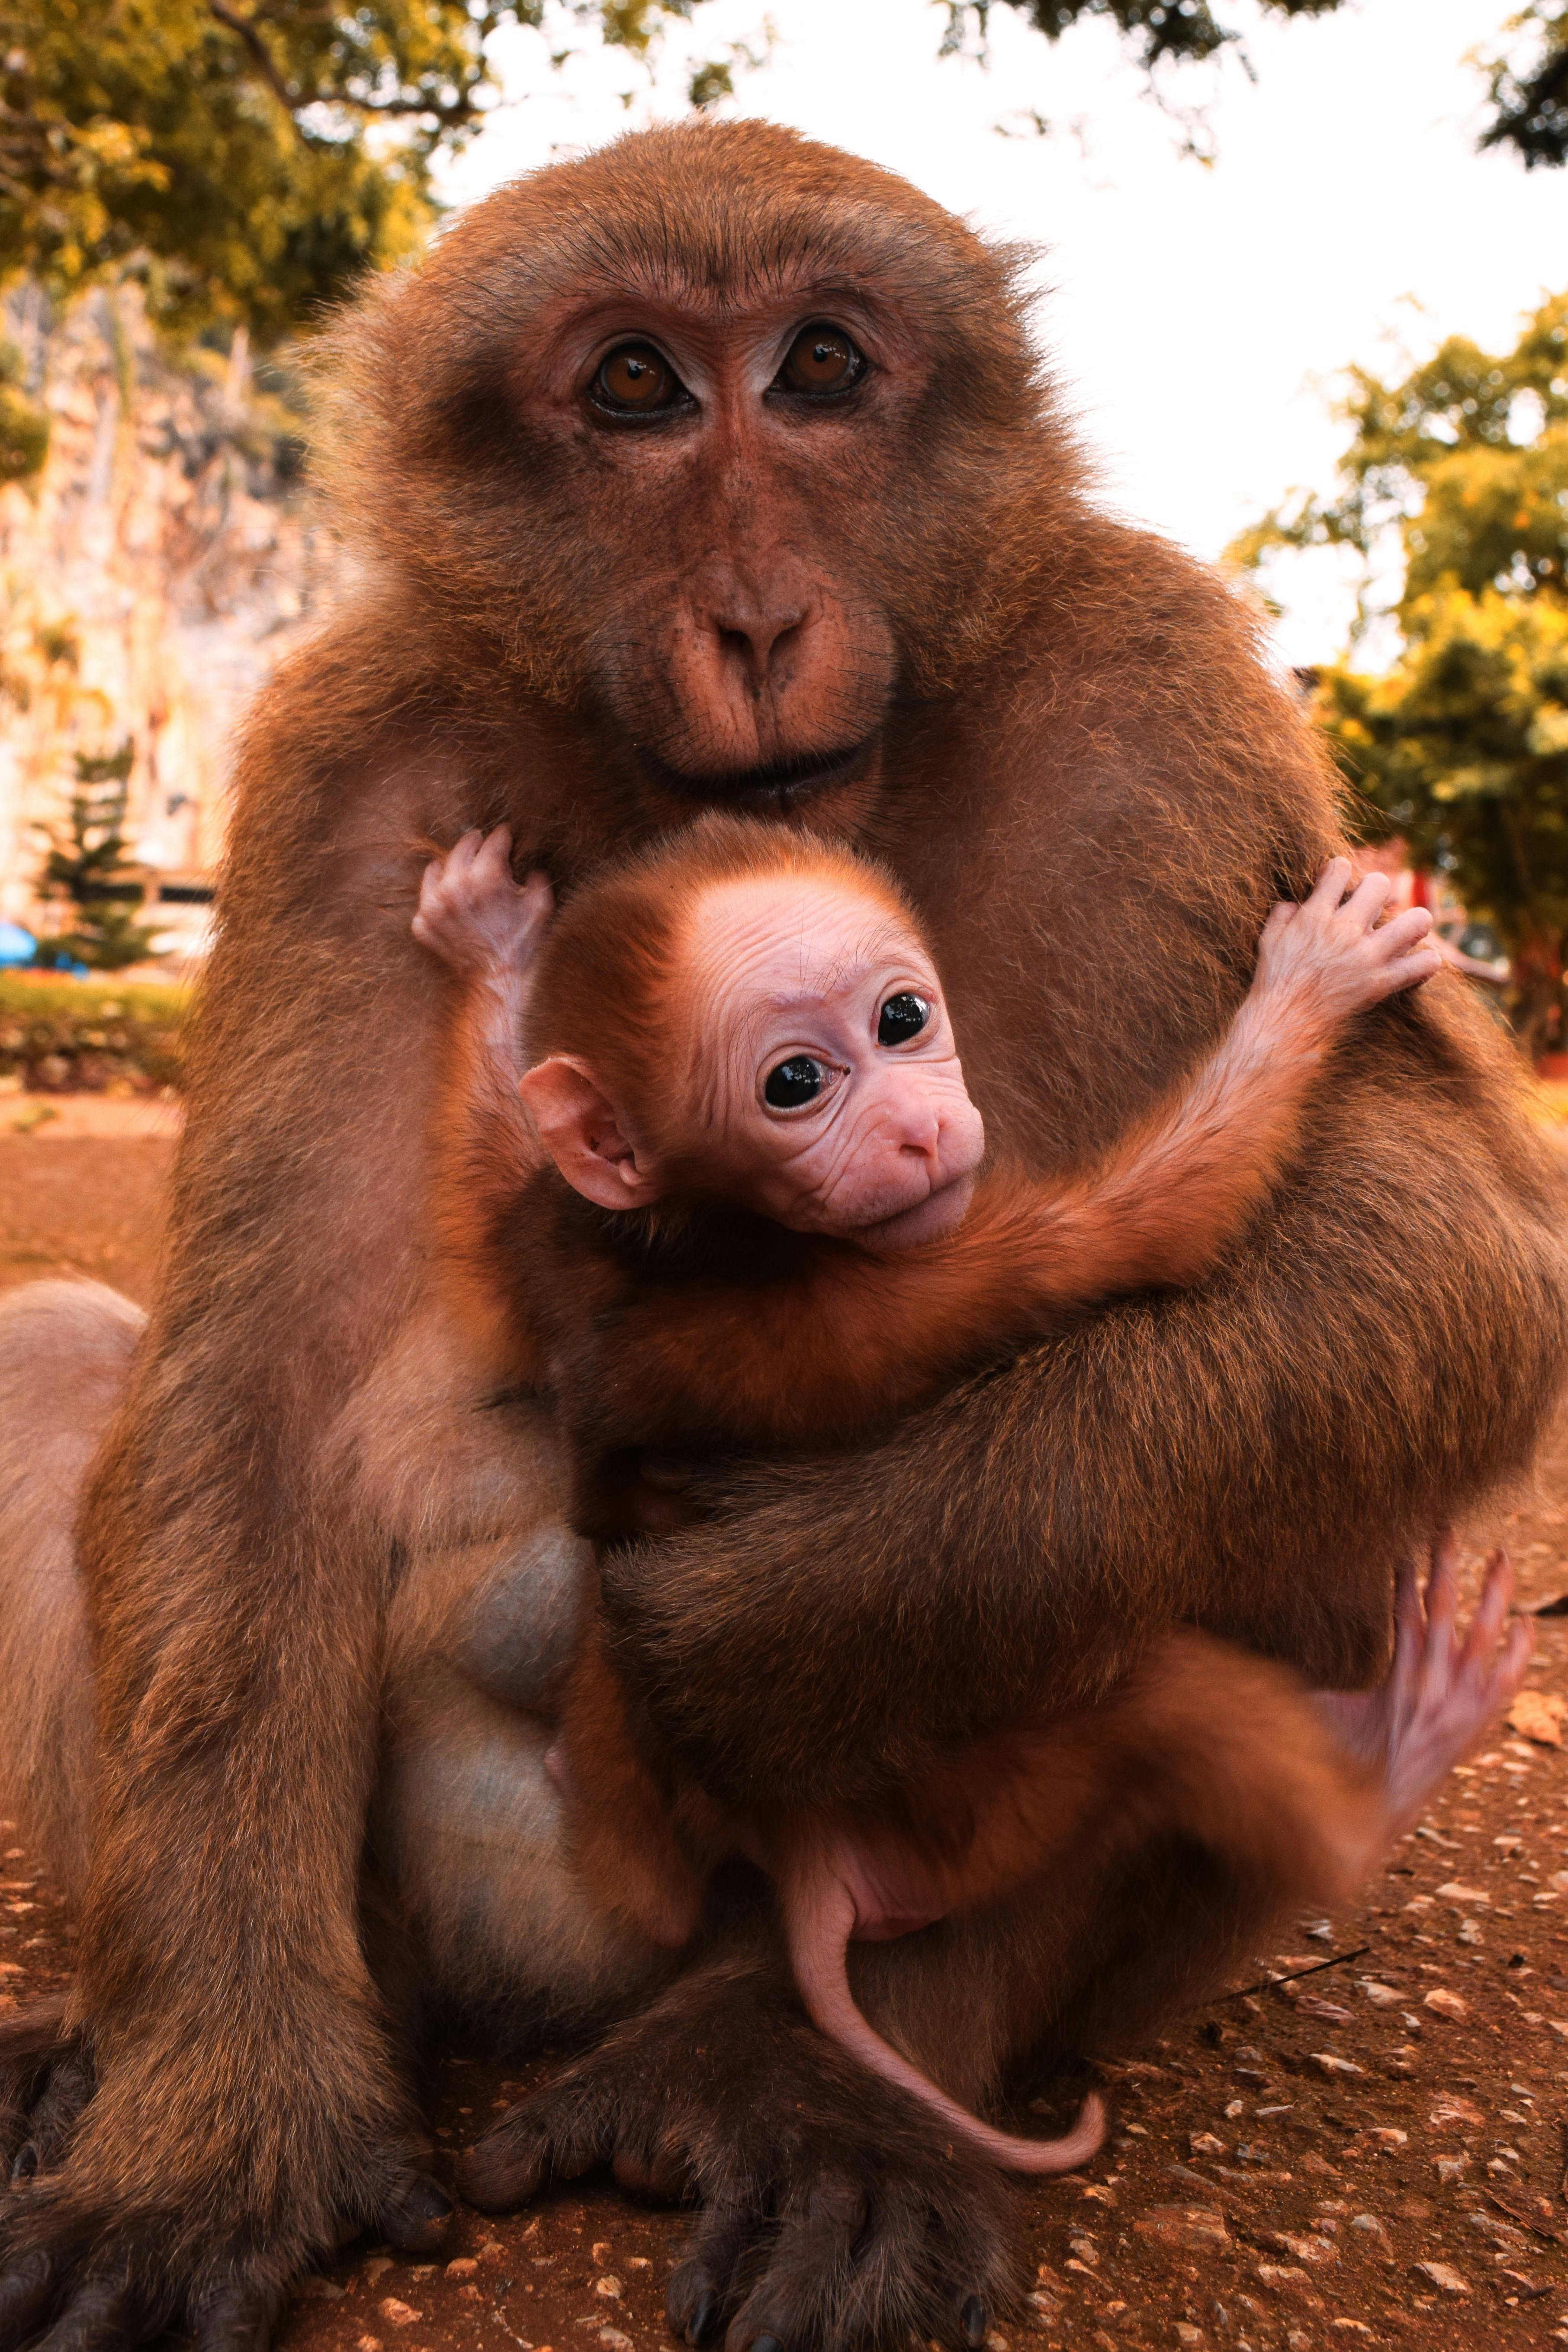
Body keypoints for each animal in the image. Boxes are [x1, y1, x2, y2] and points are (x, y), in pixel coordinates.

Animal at [411, 809, 1504, 2164]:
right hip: (989, 1802)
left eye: (901, 1018)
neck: (703, 1229)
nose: (921, 1130)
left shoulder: (555, 1238)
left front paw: (489, 946)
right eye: (792, 1085)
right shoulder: (893, 1274)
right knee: (1171, 1703)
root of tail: (812, 1866)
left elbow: (490, 1213)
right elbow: (1151, 1230)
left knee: (654, 1896)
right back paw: (1388, 1769)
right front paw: (1314, 982)